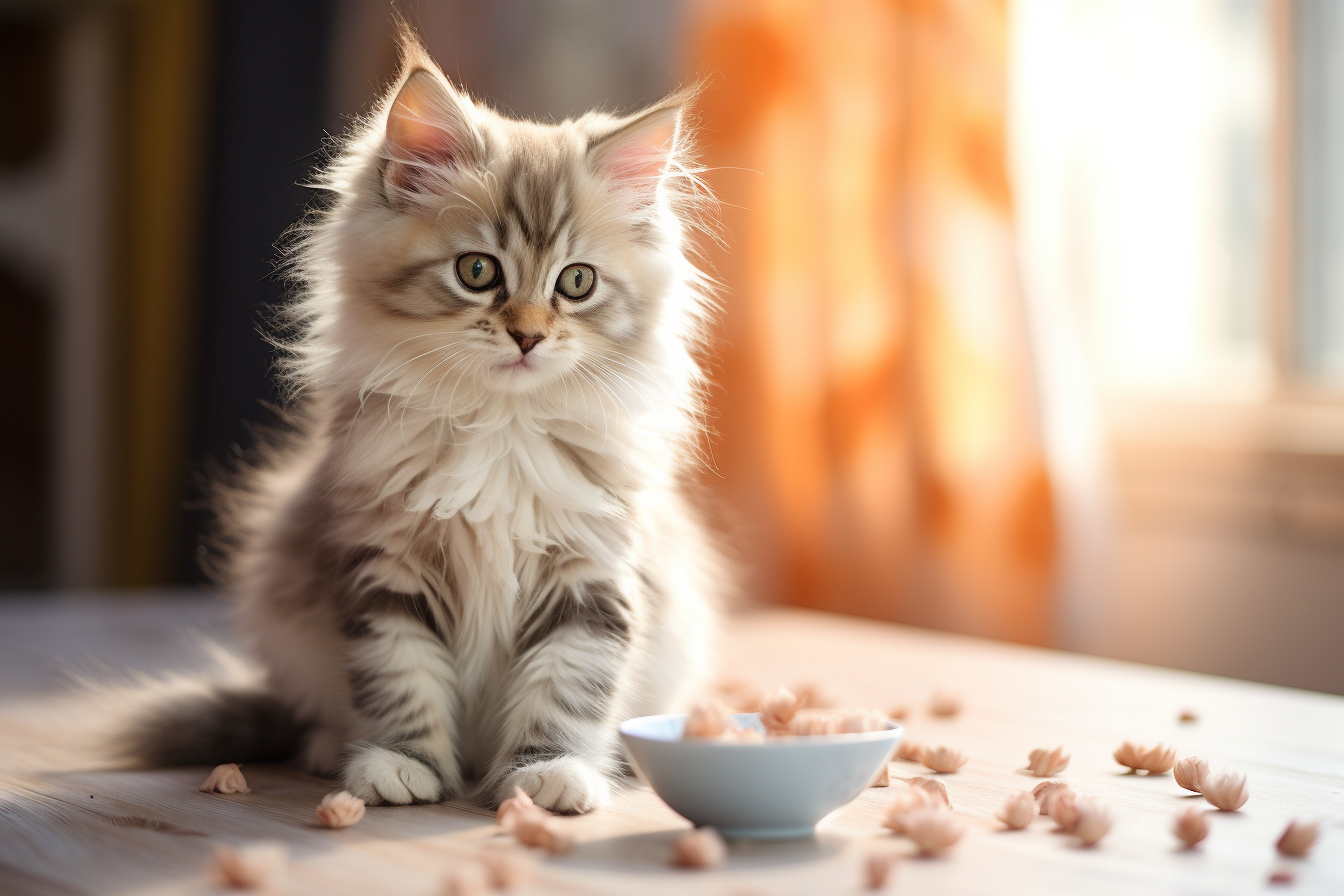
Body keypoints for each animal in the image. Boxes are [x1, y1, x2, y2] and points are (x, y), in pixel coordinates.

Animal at [132, 38, 725, 816]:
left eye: (576, 283)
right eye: (477, 271)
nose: (528, 336)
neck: (502, 427)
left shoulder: (590, 573)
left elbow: (567, 687)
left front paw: (551, 771)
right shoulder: (386, 563)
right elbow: (400, 673)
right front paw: (399, 764)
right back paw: (331, 747)